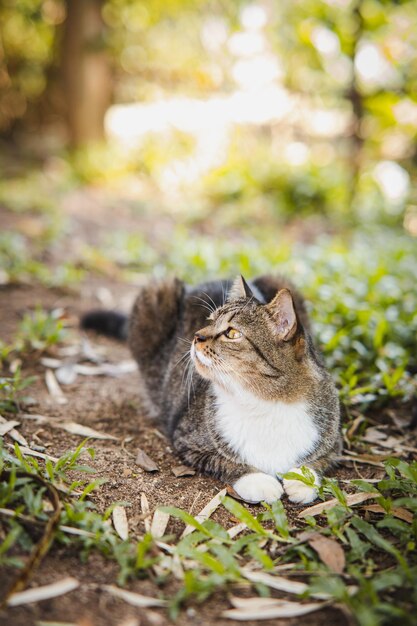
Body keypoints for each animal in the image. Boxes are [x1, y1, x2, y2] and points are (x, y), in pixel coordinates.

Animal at [82, 272, 342, 502]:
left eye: (232, 333)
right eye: (210, 320)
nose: (196, 336)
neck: (265, 402)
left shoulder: (334, 444)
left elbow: (316, 462)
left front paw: (302, 481)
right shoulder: (186, 439)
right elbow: (226, 461)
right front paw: (258, 481)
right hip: (157, 293)